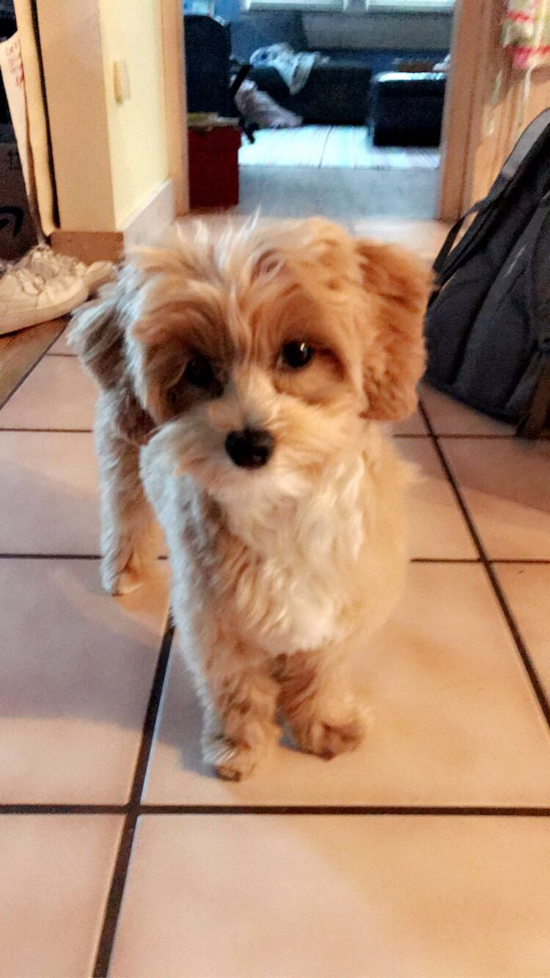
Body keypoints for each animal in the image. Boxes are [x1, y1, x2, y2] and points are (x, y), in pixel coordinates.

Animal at [70, 215, 432, 776]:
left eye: (298, 353)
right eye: (197, 369)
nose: (249, 442)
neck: (282, 508)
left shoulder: (341, 608)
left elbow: (322, 672)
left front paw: (322, 723)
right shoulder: (216, 620)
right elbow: (236, 685)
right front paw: (239, 743)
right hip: (121, 453)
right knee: (124, 515)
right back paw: (124, 569)